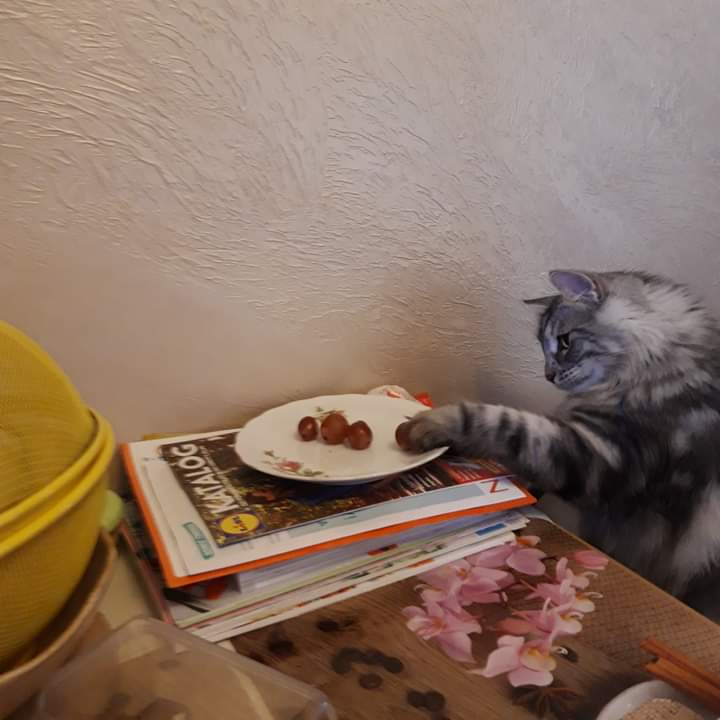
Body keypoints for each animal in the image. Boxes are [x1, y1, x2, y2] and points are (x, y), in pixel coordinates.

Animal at [403, 270, 720, 618]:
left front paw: (429, 422)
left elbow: (506, 423)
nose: (548, 375)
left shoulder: (601, 458)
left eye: (565, 341)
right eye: (543, 347)